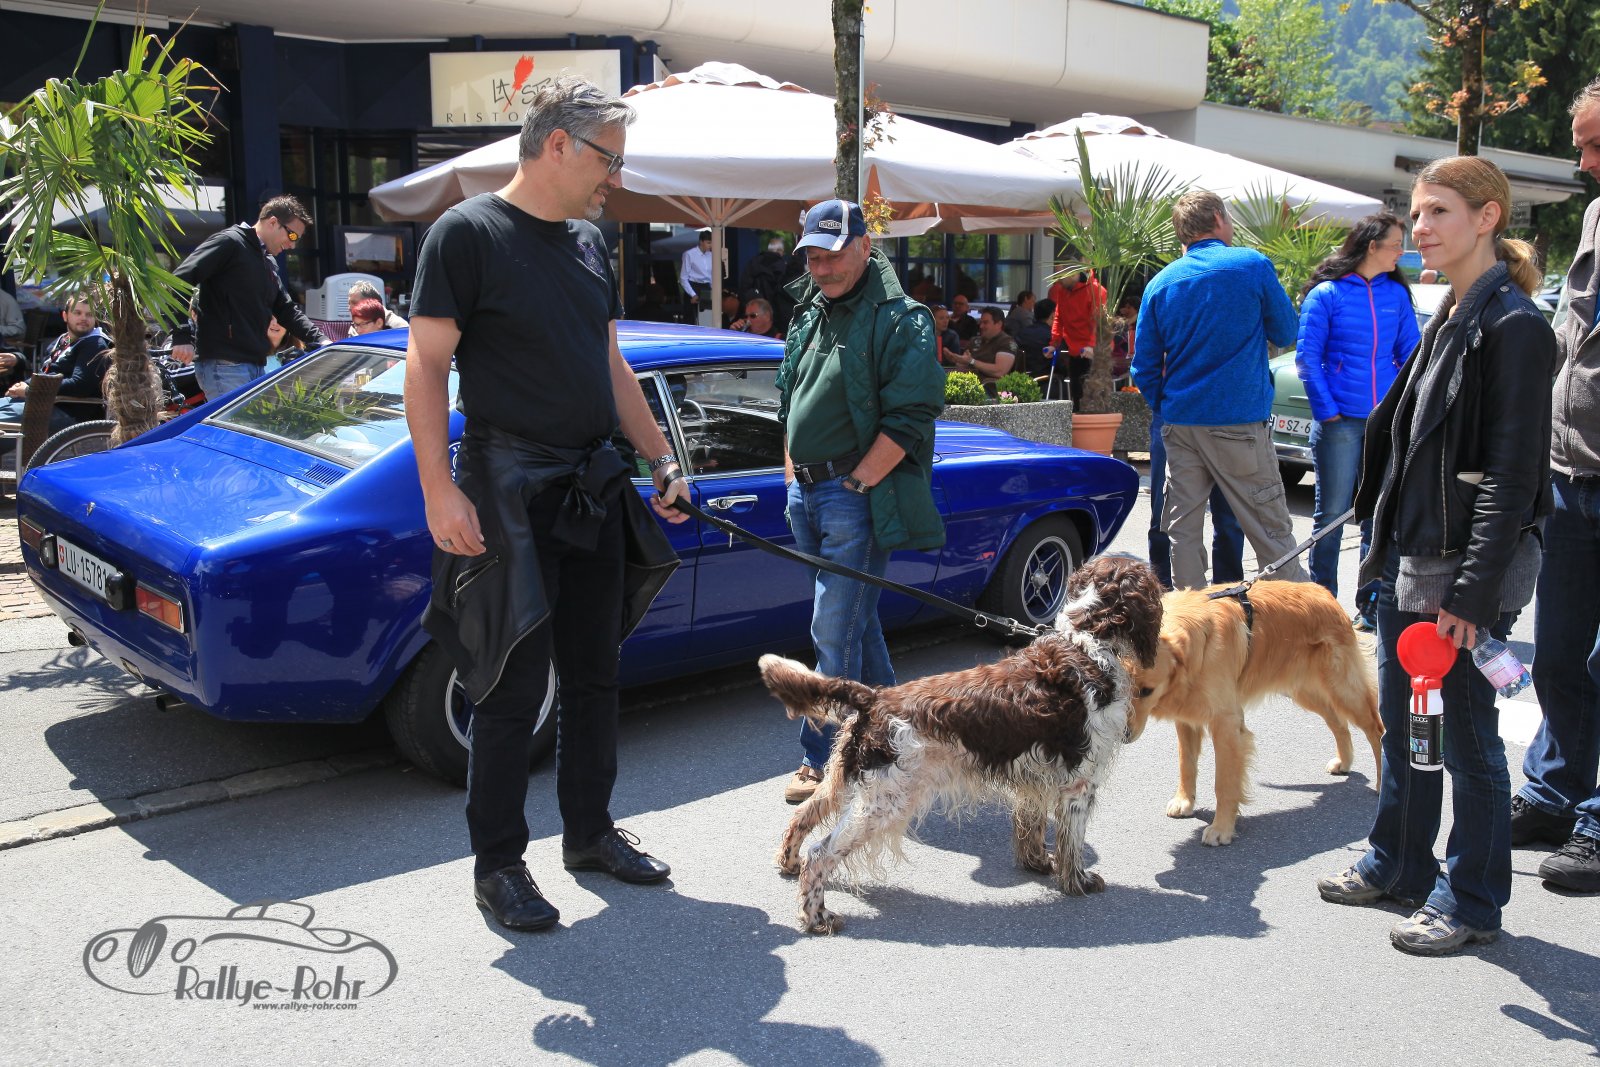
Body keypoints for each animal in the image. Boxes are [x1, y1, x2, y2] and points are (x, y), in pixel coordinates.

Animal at [759, 555, 1164, 934]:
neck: (1086, 642)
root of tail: (873, 699)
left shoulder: (1037, 779)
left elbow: (1032, 826)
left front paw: (1037, 864)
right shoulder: (1079, 785)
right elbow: (1072, 842)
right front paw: (1078, 881)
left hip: (847, 779)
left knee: (803, 814)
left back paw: (789, 862)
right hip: (885, 801)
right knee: (821, 854)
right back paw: (817, 916)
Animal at [1128, 580, 1383, 847]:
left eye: (1146, 691)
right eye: (1118, 686)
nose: (1124, 733)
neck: (1201, 646)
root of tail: (1323, 592)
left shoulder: (1226, 724)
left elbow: (1224, 783)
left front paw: (1221, 828)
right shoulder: (1187, 716)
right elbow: (1186, 764)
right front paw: (1185, 801)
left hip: (1343, 689)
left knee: (1376, 729)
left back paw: (1380, 781)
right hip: (1306, 691)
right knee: (1338, 723)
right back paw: (1344, 761)